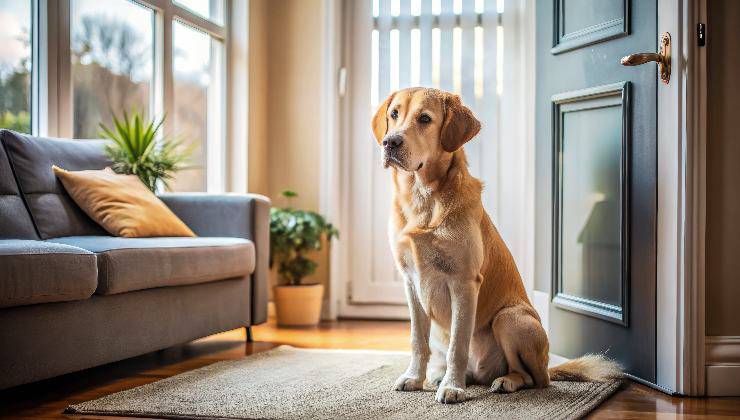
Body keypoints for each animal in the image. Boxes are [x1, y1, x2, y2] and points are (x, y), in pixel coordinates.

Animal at [372, 88, 620, 404]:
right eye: (394, 114)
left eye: (425, 118)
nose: (390, 142)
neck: (422, 199)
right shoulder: (410, 282)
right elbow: (417, 340)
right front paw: (414, 378)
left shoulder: (464, 282)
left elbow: (459, 344)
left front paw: (452, 387)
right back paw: (444, 376)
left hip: (510, 318)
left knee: (534, 378)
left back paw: (504, 381)